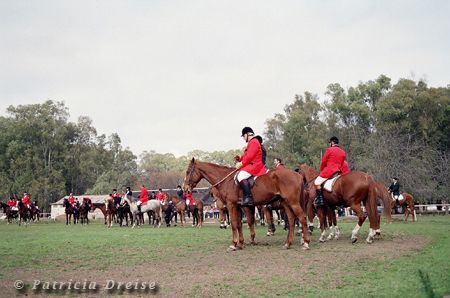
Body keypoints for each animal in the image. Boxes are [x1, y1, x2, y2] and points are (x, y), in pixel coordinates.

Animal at [182, 157, 310, 250]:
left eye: (188, 171)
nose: (185, 188)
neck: (227, 180)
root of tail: (298, 175)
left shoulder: (231, 205)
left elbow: (234, 223)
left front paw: (234, 244)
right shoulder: (239, 207)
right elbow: (239, 224)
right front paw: (241, 243)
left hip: (293, 203)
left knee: (302, 218)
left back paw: (306, 243)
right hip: (286, 203)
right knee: (292, 220)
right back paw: (288, 243)